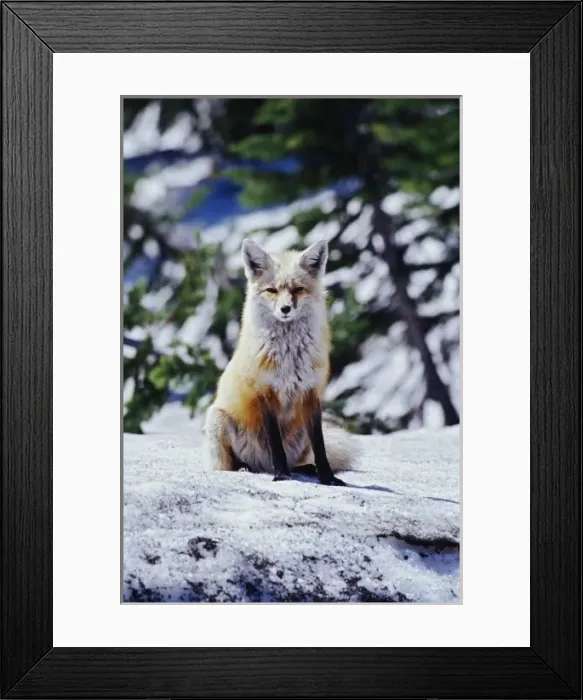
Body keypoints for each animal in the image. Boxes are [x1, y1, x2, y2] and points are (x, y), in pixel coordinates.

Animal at [204, 237, 356, 486]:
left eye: (297, 289)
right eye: (272, 290)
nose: (285, 309)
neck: (289, 357)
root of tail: (262, 466)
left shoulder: (311, 393)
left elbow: (320, 446)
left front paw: (327, 477)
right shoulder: (265, 392)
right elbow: (276, 444)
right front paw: (282, 475)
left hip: (300, 435)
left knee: (300, 460)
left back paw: (306, 468)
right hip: (217, 419)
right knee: (232, 465)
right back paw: (247, 467)